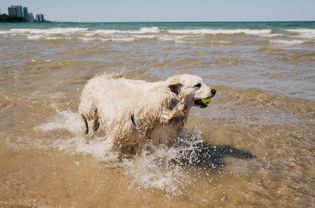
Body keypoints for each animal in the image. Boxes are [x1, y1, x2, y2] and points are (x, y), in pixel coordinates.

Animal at [79, 72, 217, 153]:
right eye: (197, 85)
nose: (214, 90)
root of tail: (102, 76)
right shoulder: (118, 134)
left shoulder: (151, 138)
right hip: (89, 108)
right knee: (84, 118)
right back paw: (86, 131)